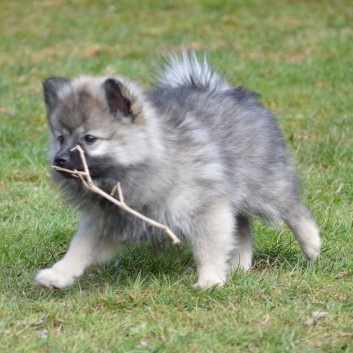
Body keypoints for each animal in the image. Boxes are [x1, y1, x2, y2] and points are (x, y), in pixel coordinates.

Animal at [35, 52, 320, 288]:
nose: (60, 159)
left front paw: (210, 280)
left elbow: (207, 249)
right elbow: (78, 249)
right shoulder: (106, 222)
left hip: (261, 185)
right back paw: (239, 265)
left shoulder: (206, 209)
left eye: (90, 139)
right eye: (60, 137)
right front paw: (57, 275)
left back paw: (312, 245)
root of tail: (222, 90)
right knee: (242, 228)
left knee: (293, 208)